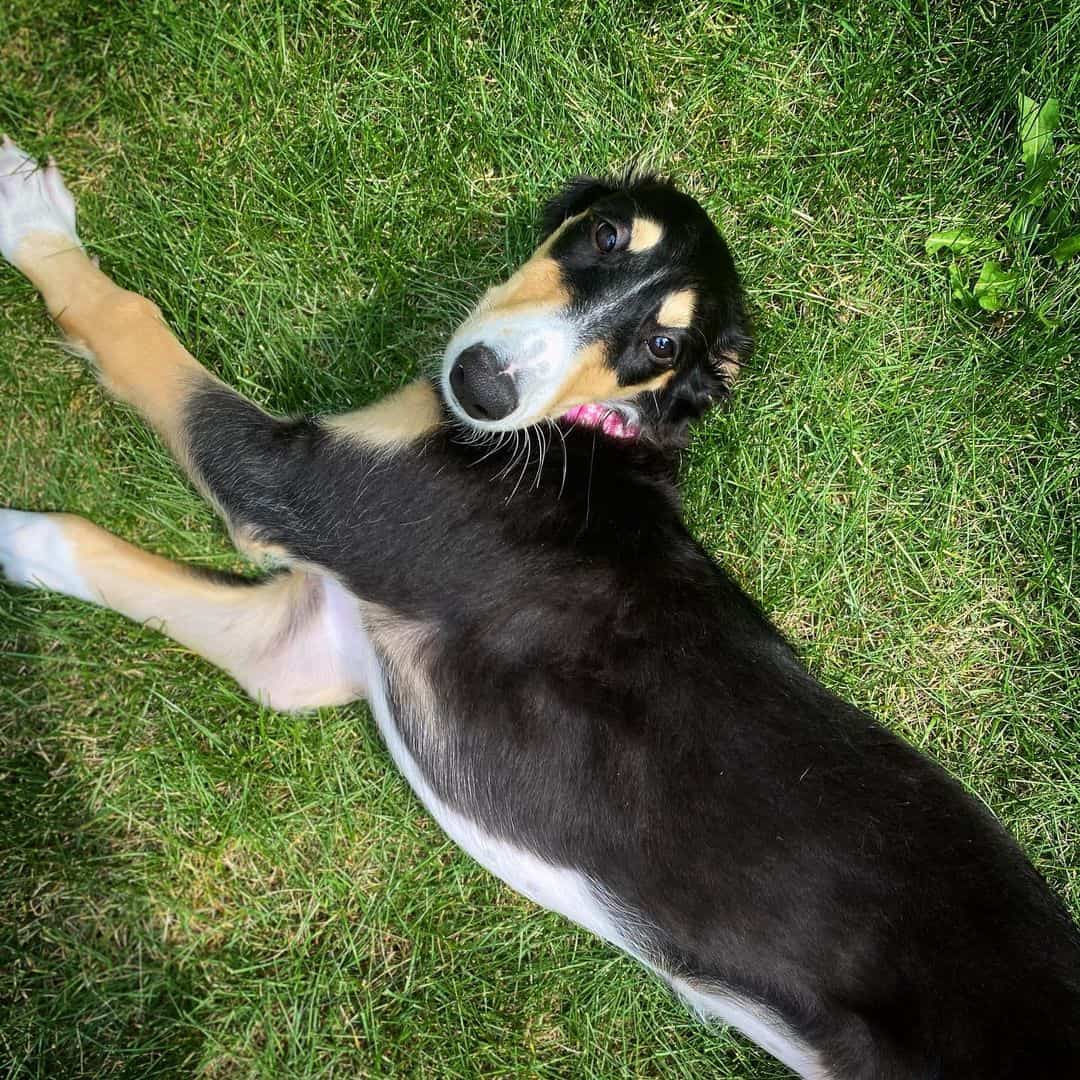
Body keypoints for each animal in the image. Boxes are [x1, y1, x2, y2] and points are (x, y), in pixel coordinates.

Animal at [2, 139, 1080, 1075]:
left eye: (661, 342)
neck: (586, 429)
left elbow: (131, 326)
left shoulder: (293, 483)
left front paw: (26, 217)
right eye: (605, 234)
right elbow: (85, 546)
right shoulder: (302, 645)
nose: (481, 385)